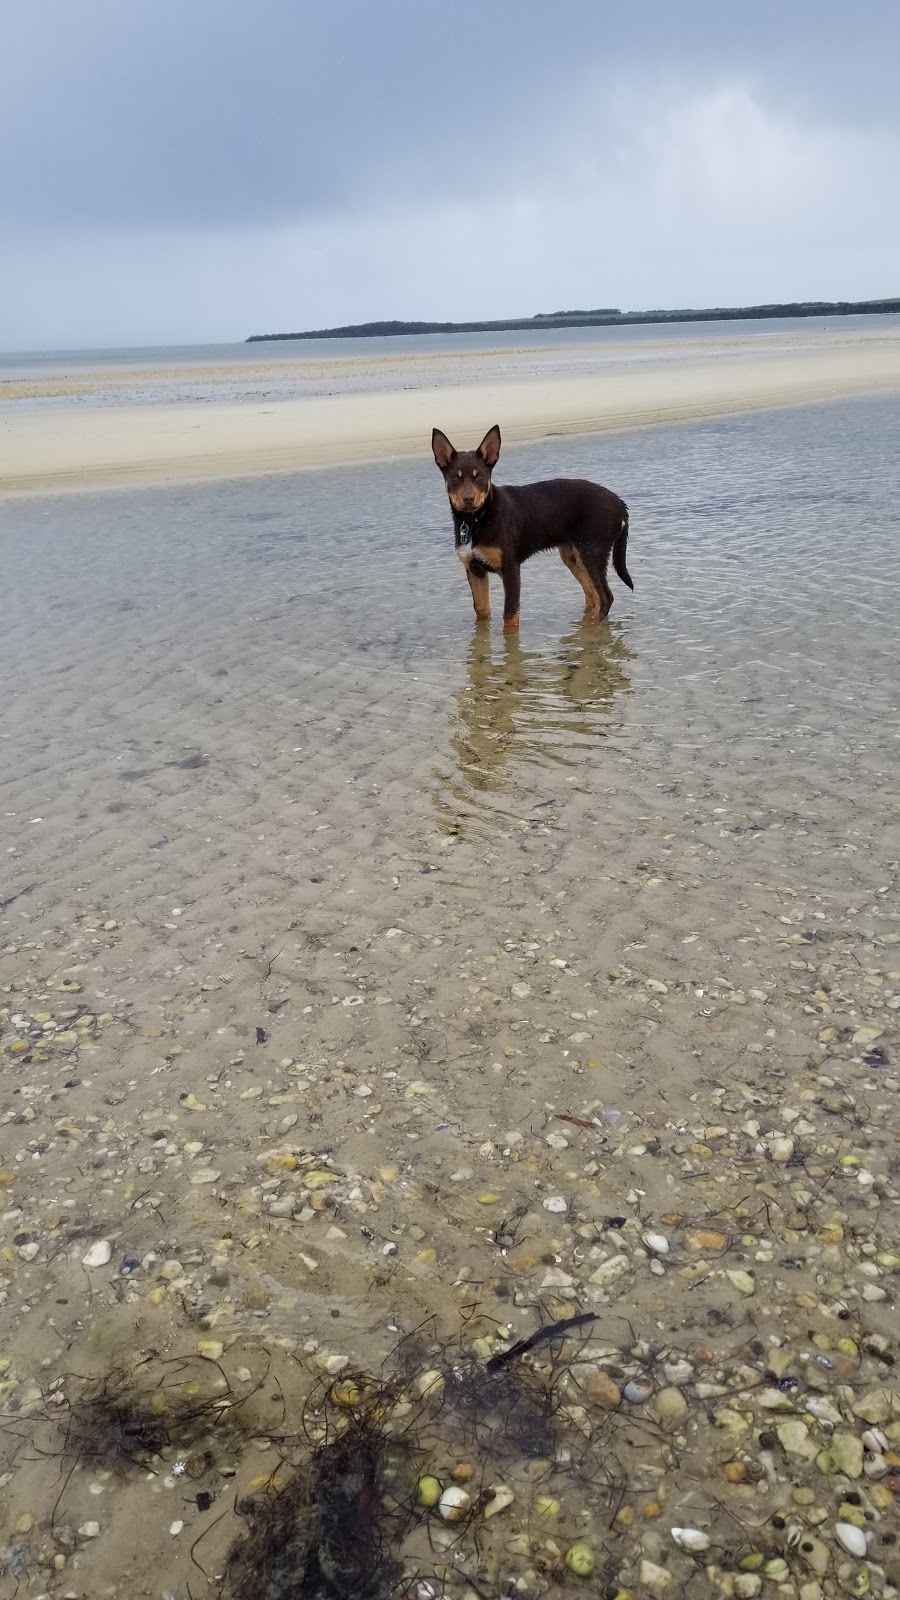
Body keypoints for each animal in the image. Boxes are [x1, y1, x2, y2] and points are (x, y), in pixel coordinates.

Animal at [429, 428, 630, 633]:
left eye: (480, 476)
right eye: (455, 477)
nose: (469, 499)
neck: (476, 519)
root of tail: (619, 503)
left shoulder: (510, 569)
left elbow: (509, 615)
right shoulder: (474, 570)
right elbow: (482, 611)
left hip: (591, 552)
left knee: (605, 597)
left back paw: (591, 631)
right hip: (574, 557)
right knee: (592, 595)